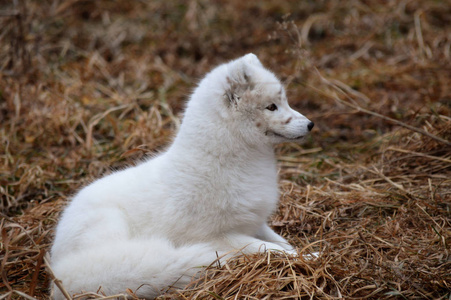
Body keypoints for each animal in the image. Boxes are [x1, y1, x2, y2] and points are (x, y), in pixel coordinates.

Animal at [51, 53, 314, 298]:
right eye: (272, 107)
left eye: (285, 101)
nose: (311, 124)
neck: (232, 163)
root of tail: (56, 270)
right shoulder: (219, 236)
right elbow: (269, 249)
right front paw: (310, 257)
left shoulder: (255, 222)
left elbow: (283, 243)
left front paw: (307, 254)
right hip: (110, 229)